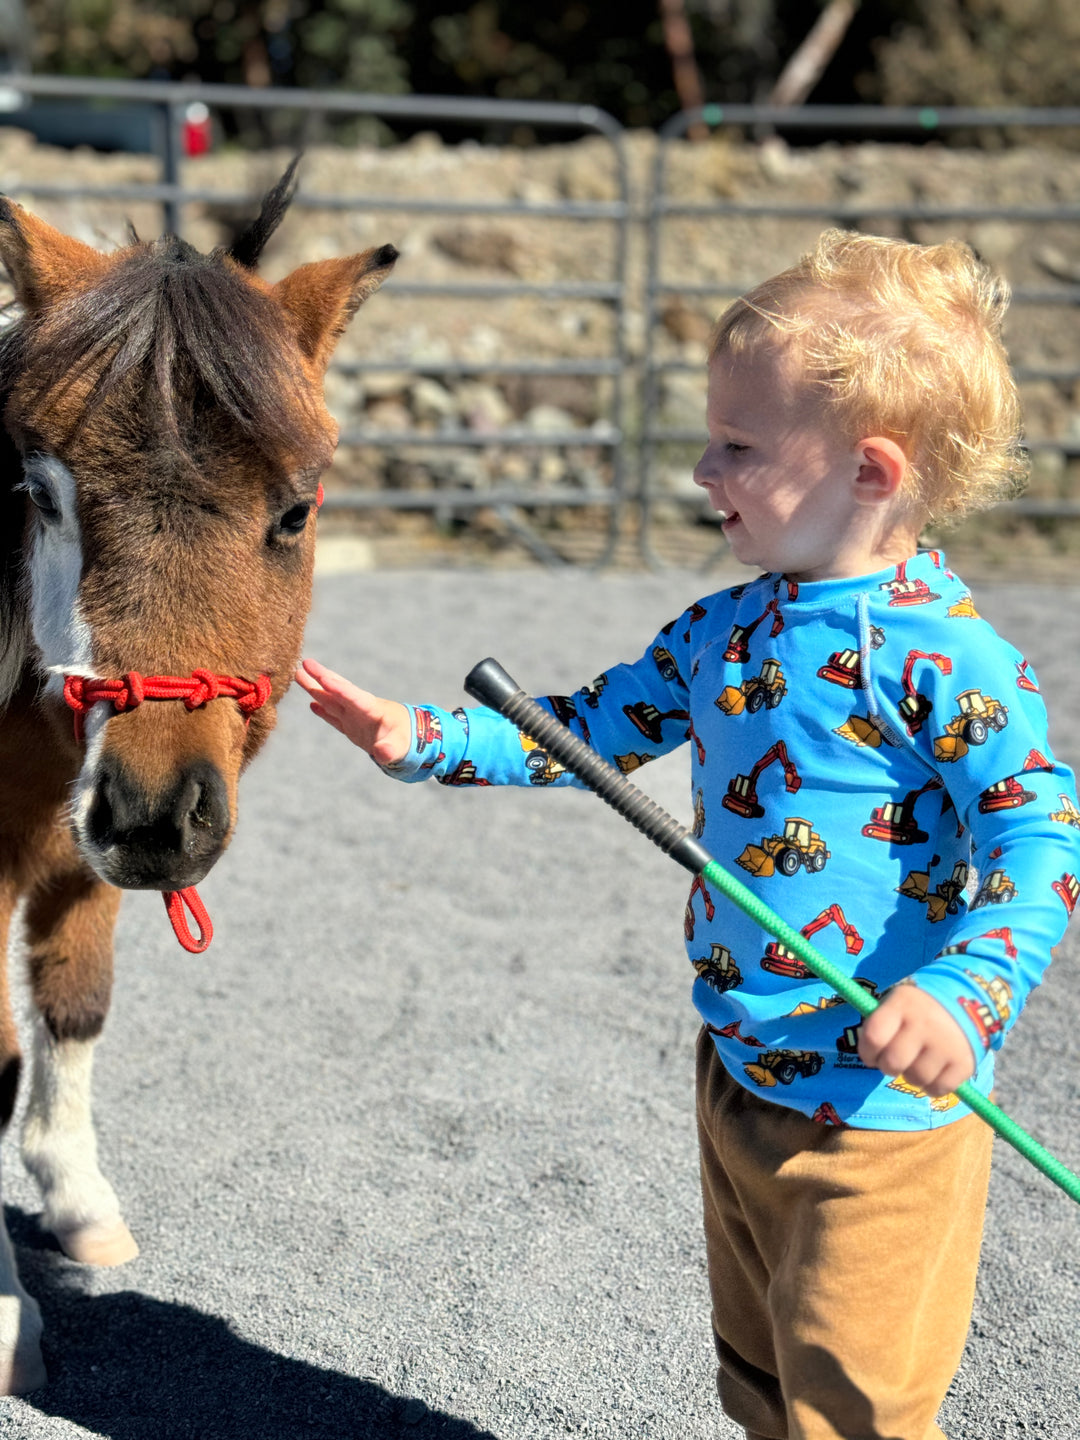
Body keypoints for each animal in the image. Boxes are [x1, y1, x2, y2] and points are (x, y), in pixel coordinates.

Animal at [0, 168, 397, 1393]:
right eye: (41, 494)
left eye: (296, 510)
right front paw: (5, 1316)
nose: (155, 815)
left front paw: (76, 1198)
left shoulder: (74, 853)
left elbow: (72, 1009)